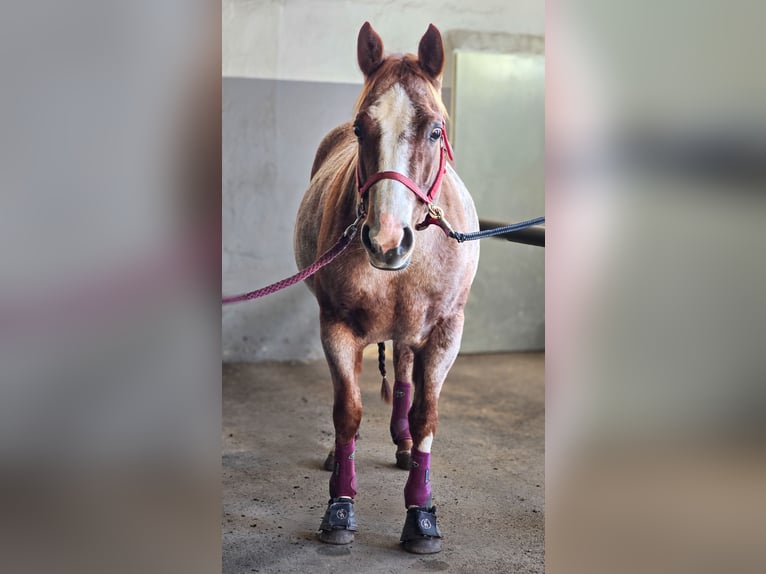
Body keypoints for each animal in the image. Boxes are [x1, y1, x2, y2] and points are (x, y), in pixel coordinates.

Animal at [294, 22, 480, 554]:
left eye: (435, 130)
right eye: (361, 129)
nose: (386, 241)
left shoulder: (445, 332)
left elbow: (425, 416)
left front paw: (420, 513)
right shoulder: (336, 327)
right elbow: (348, 411)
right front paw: (339, 507)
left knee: (403, 377)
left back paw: (402, 443)